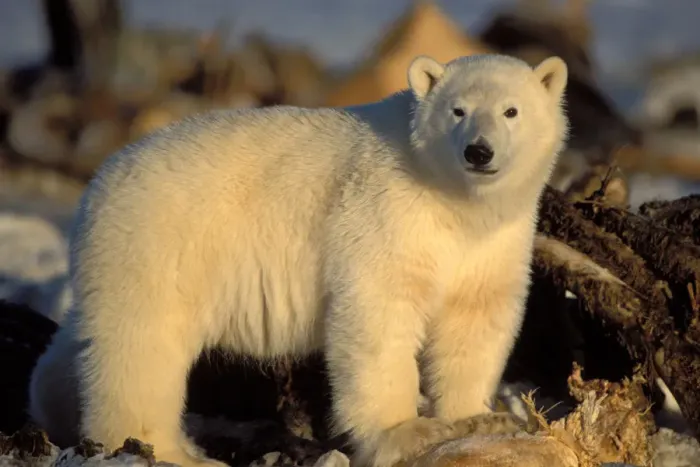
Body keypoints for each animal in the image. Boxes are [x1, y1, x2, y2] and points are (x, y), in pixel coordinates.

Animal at [28, 53, 569, 467]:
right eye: (457, 110)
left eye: (512, 110)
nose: (479, 152)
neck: (455, 203)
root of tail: (95, 187)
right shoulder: (386, 214)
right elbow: (379, 317)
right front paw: (407, 430)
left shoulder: (493, 243)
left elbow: (474, 320)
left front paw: (480, 417)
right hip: (161, 248)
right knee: (141, 351)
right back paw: (172, 451)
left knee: (83, 342)